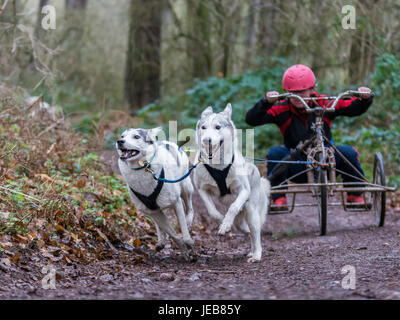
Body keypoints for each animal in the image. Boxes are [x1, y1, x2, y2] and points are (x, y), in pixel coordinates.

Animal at [115, 127, 195, 260]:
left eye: (136, 137)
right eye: (122, 136)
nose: (119, 141)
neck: (144, 167)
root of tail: (167, 142)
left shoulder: (176, 202)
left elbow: (182, 225)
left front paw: (188, 242)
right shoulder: (152, 211)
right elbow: (173, 235)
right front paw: (183, 249)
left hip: (185, 187)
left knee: (189, 207)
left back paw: (188, 220)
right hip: (154, 210)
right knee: (160, 224)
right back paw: (161, 242)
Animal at [193, 104, 270, 262]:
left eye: (217, 127)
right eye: (203, 127)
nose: (206, 140)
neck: (218, 166)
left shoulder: (243, 190)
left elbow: (233, 207)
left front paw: (226, 224)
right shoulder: (201, 188)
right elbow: (211, 210)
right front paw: (222, 221)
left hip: (252, 213)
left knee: (255, 234)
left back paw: (256, 255)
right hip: (241, 221)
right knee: (246, 231)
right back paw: (250, 249)